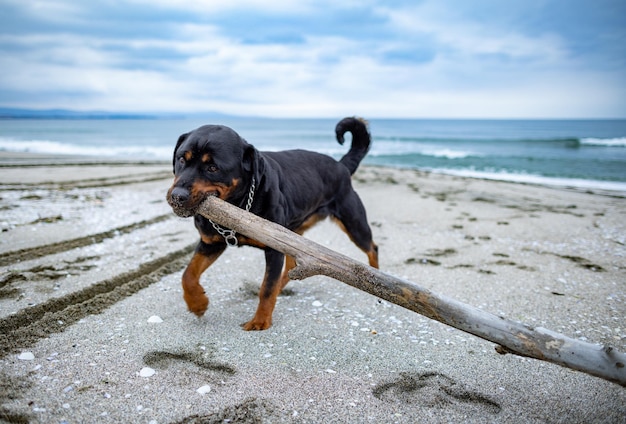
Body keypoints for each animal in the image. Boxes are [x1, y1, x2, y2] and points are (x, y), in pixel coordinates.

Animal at [166, 117, 378, 332]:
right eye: (181, 159)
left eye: (213, 168)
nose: (177, 196)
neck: (240, 203)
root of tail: (341, 166)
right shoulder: (211, 243)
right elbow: (188, 274)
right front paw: (197, 303)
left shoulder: (274, 249)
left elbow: (267, 288)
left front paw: (260, 321)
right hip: (293, 235)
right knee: (292, 265)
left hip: (353, 223)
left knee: (371, 247)